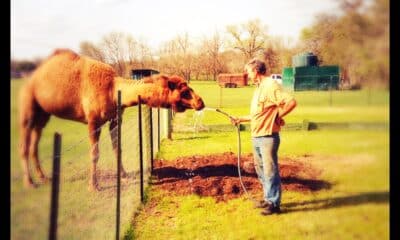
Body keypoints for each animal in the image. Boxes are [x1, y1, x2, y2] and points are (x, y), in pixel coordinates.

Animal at [18, 48, 206, 191]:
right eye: (184, 91)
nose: (200, 102)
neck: (114, 90)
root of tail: (32, 76)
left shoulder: (115, 119)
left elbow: (118, 148)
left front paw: (124, 175)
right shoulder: (93, 121)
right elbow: (94, 153)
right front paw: (94, 186)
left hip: (43, 114)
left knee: (35, 141)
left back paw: (44, 178)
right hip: (28, 104)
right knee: (24, 144)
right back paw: (30, 183)